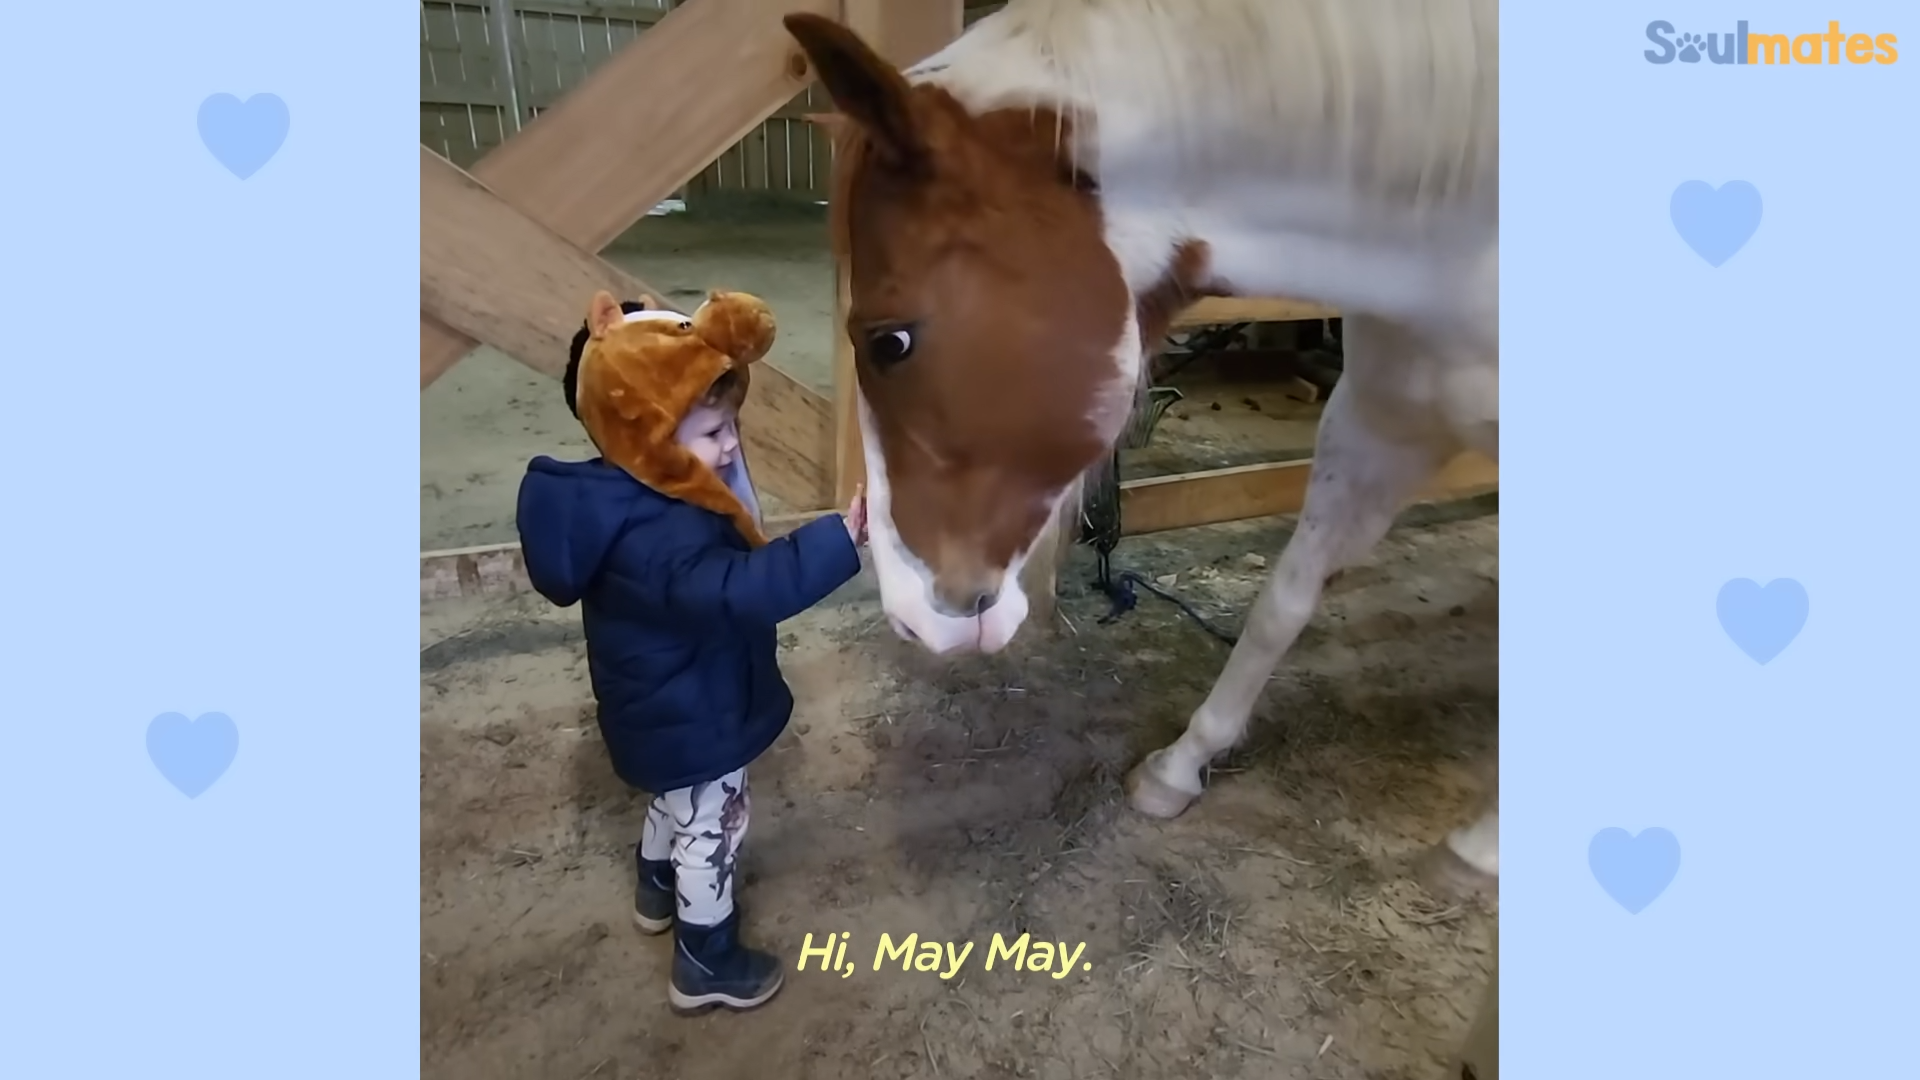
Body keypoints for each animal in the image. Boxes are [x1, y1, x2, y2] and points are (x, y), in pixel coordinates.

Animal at [779, 0, 1497, 891]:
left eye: (889, 341)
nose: (911, 617)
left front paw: (1482, 849)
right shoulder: (1376, 419)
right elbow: (1281, 603)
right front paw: (1180, 766)